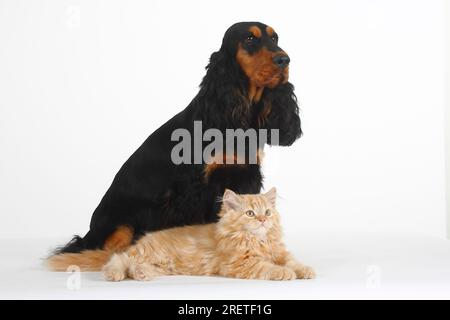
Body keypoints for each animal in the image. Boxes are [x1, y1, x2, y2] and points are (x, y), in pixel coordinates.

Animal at [45, 189, 312, 282]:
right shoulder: (240, 264)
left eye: (267, 212)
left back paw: (141, 274)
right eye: (249, 213)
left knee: (134, 266)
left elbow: (291, 261)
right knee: (117, 261)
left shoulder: (280, 252)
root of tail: (141, 240)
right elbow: (268, 267)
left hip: (162, 264)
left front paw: (305, 270)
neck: (259, 242)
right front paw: (285, 274)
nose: (263, 220)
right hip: (139, 254)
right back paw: (115, 275)